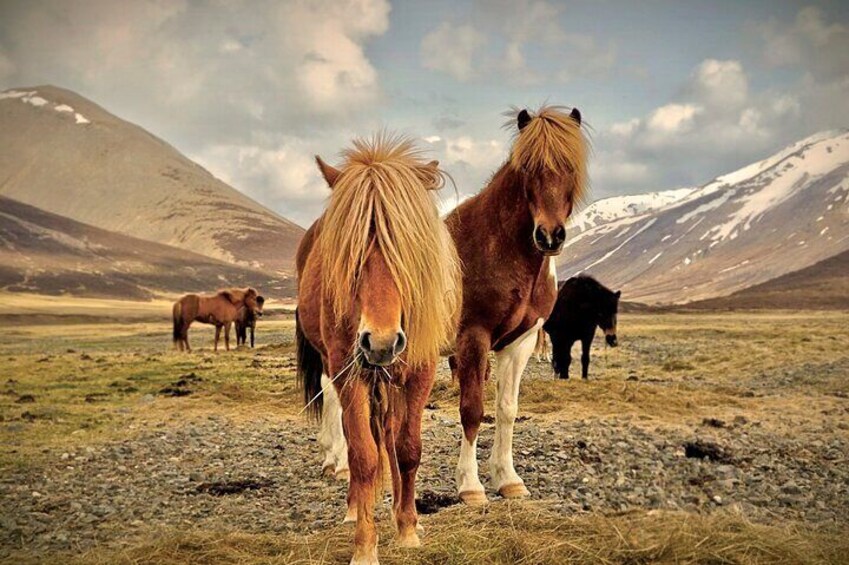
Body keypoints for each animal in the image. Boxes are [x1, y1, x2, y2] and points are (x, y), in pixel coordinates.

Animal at [295, 134, 461, 564]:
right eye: (350, 253)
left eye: (409, 250)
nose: (381, 342)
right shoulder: (348, 371)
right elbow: (365, 456)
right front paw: (365, 546)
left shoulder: (419, 370)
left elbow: (407, 449)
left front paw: (408, 528)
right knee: (362, 441)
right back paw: (356, 508)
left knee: (389, 435)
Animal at [445, 105, 588, 505]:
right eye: (527, 168)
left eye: (572, 166)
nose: (550, 236)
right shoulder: (473, 338)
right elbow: (472, 410)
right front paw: (470, 485)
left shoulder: (520, 342)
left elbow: (506, 409)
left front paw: (507, 479)